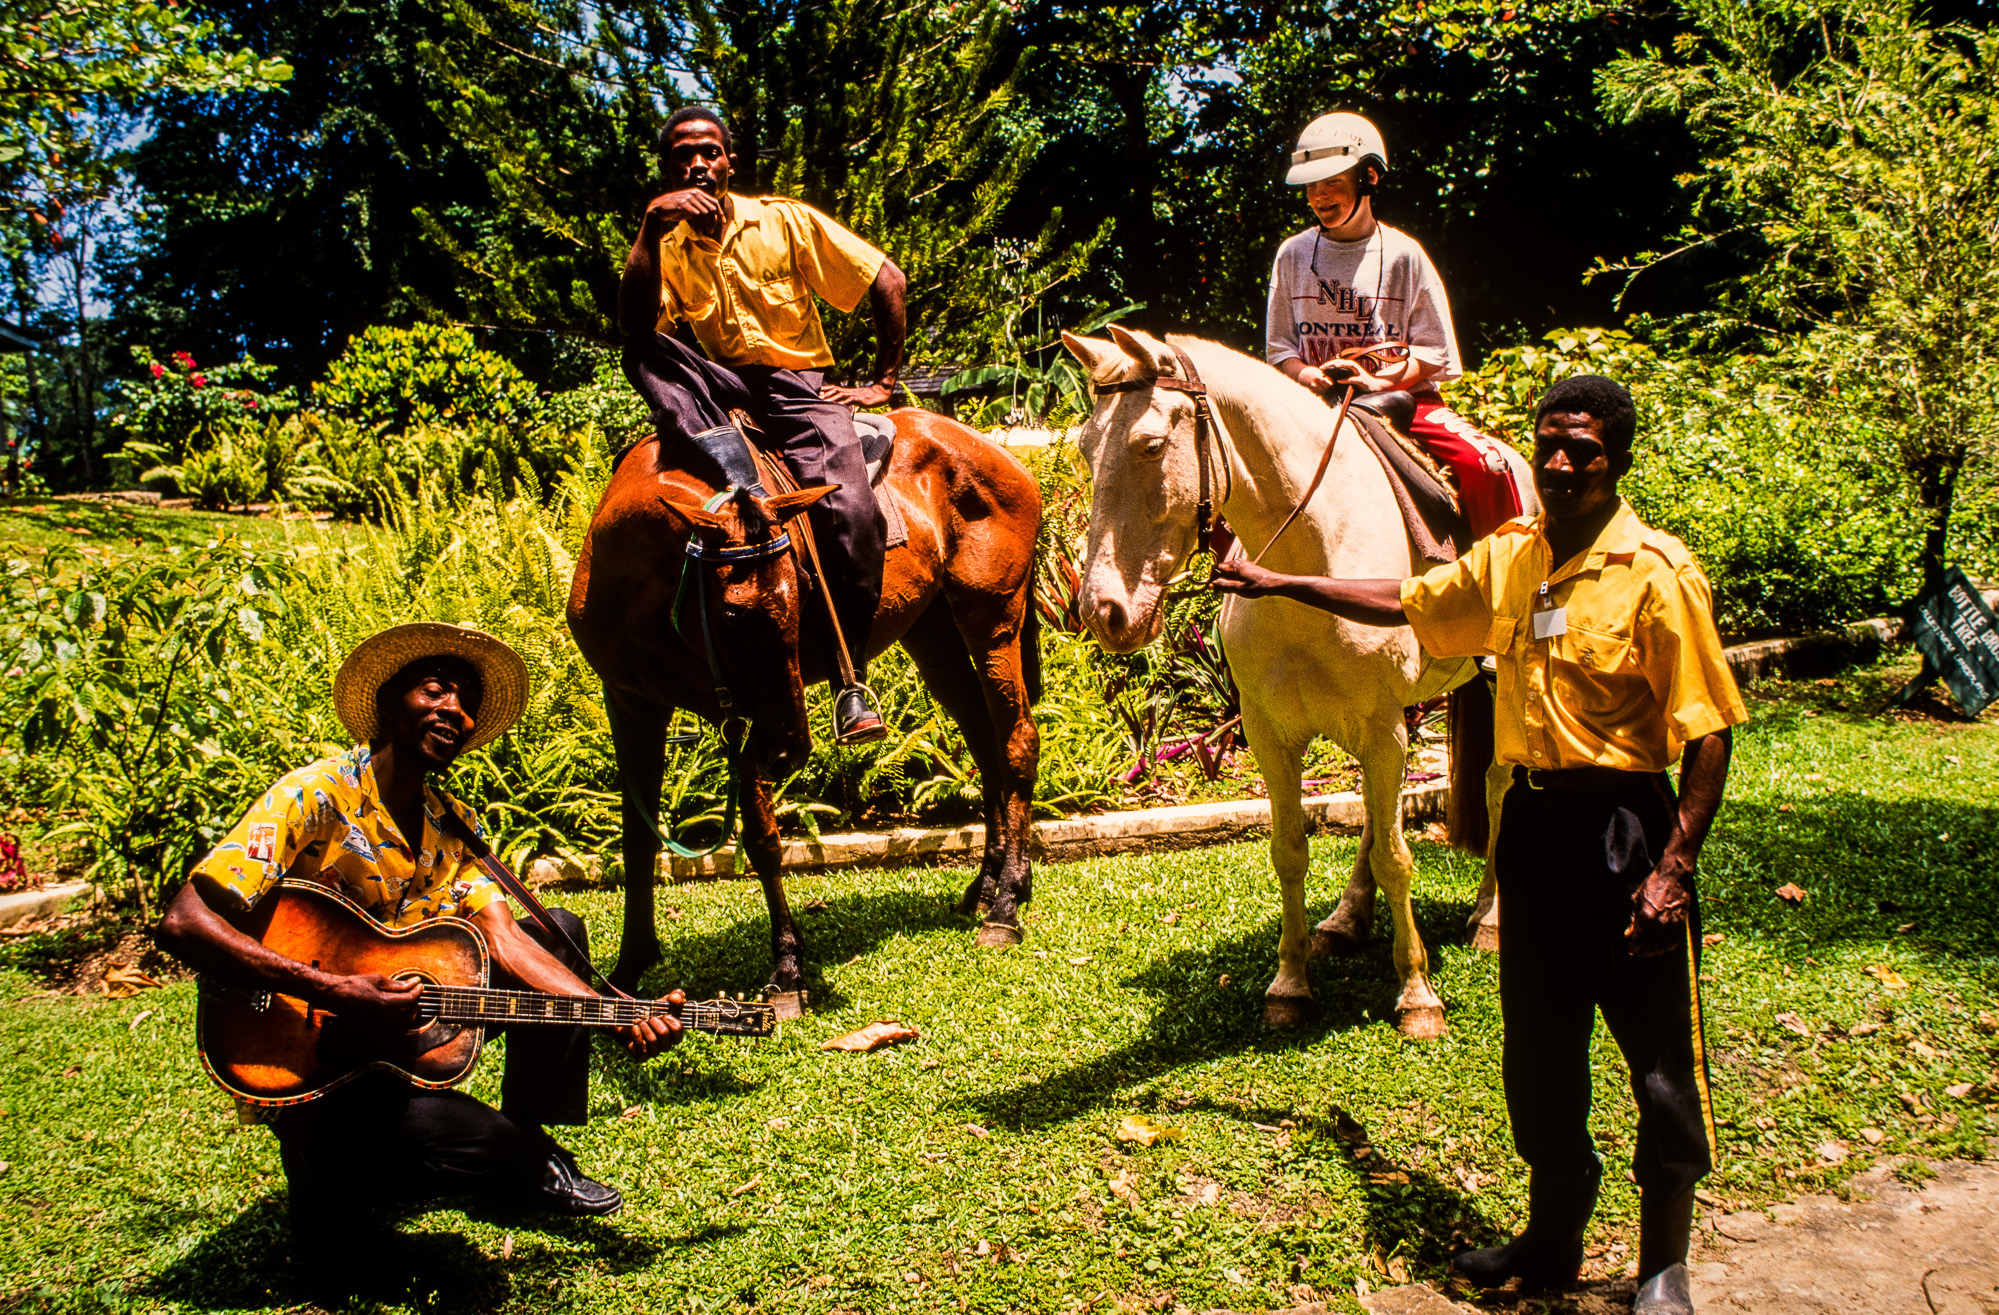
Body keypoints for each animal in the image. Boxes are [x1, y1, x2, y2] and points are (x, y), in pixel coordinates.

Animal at [559, 409, 1039, 1003]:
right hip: (933, 636)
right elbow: (639, 839)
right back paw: (987, 884)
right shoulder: (631, 706)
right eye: (734, 613)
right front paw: (629, 967)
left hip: (992, 620)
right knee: (986, 746)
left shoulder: (745, 717)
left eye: (807, 588)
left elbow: (761, 837)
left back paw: (1007, 903)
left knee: (1016, 741)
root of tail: (997, 452)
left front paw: (787, 969)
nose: (791, 748)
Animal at [1071, 325, 1535, 1031]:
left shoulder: (1377, 727)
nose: (1105, 613)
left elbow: (1398, 859)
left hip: (1491, 684)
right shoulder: (1273, 734)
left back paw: (1489, 916)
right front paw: (1290, 985)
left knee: (1496, 786)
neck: (1311, 551)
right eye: (1084, 447)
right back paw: (1347, 919)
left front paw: (1417, 995)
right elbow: (1291, 851)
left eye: (1149, 445)